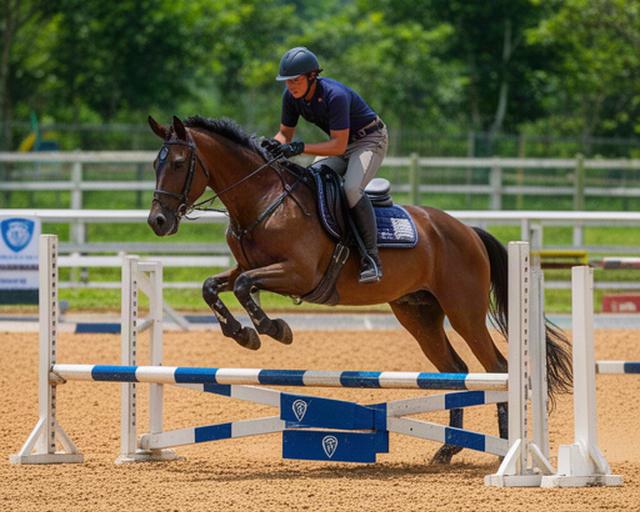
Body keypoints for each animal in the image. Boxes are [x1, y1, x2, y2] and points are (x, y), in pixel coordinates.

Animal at [146, 115, 572, 465]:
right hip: (418, 315)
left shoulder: (297, 273)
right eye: (156, 164)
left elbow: (244, 287)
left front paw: (273, 330)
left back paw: (504, 449)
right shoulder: (248, 266)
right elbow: (214, 287)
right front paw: (241, 333)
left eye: (180, 164)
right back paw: (448, 449)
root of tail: (467, 230)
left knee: (496, 368)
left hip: (464, 312)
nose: (158, 221)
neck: (263, 200)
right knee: (456, 371)